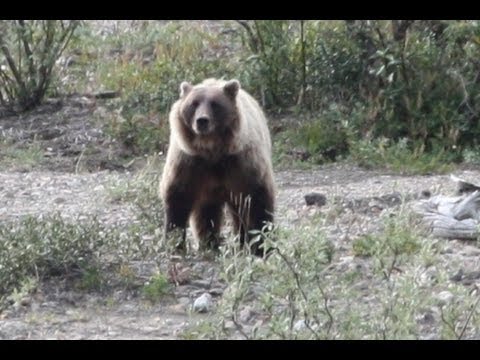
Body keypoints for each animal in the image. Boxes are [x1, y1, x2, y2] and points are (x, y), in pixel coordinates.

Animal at [159, 78, 276, 256]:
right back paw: (208, 243)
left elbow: (257, 198)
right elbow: (178, 196)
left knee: (238, 212)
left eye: (215, 104)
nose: (202, 120)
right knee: (206, 213)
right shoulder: (189, 162)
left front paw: (261, 245)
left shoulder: (243, 163)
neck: (212, 150)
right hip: (208, 190)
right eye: (194, 103)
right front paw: (175, 242)